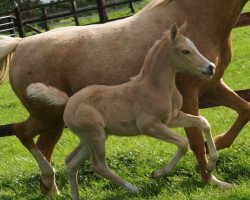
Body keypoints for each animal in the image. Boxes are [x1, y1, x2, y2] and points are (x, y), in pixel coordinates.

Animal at [26, 24, 217, 198]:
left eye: (194, 47)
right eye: (185, 51)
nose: (210, 67)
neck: (156, 87)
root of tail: (69, 101)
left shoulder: (172, 118)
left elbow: (203, 122)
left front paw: (211, 164)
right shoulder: (149, 126)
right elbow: (183, 143)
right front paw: (157, 173)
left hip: (89, 139)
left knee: (71, 162)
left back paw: (76, 195)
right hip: (96, 137)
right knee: (98, 166)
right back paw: (133, 188)